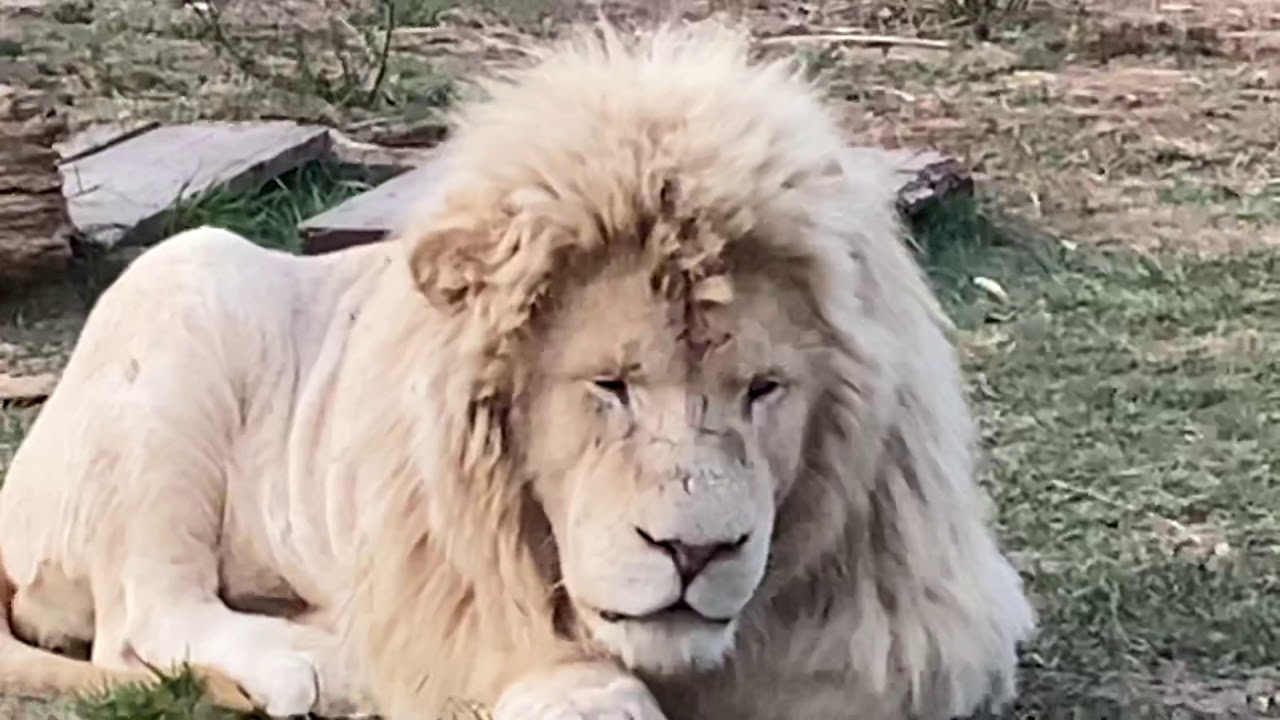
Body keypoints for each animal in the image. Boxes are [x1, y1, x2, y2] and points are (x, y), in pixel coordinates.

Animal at [0, 20, 1035, 720]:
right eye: (610, 386)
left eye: (762, 391)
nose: (695, 554)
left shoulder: (911, 629)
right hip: (188, 282)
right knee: (144, 617)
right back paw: (331, 665)